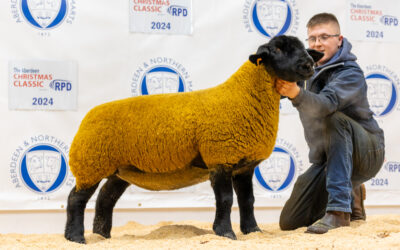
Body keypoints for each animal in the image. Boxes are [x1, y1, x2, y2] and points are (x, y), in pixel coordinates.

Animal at [64, 34, 324, 242]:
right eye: (277, 49)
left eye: (304, 48)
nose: (309, 65)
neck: (244, 96)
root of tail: (89, 116)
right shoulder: (220, 159)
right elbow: (226, 200)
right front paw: (225, 233)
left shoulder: (244, 166)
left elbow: (247, 201)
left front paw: (253, 231)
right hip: (90, 164)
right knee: (76, 199)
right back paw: (76, 238)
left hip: (119, 170)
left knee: (105, 199)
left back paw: (102, 235)